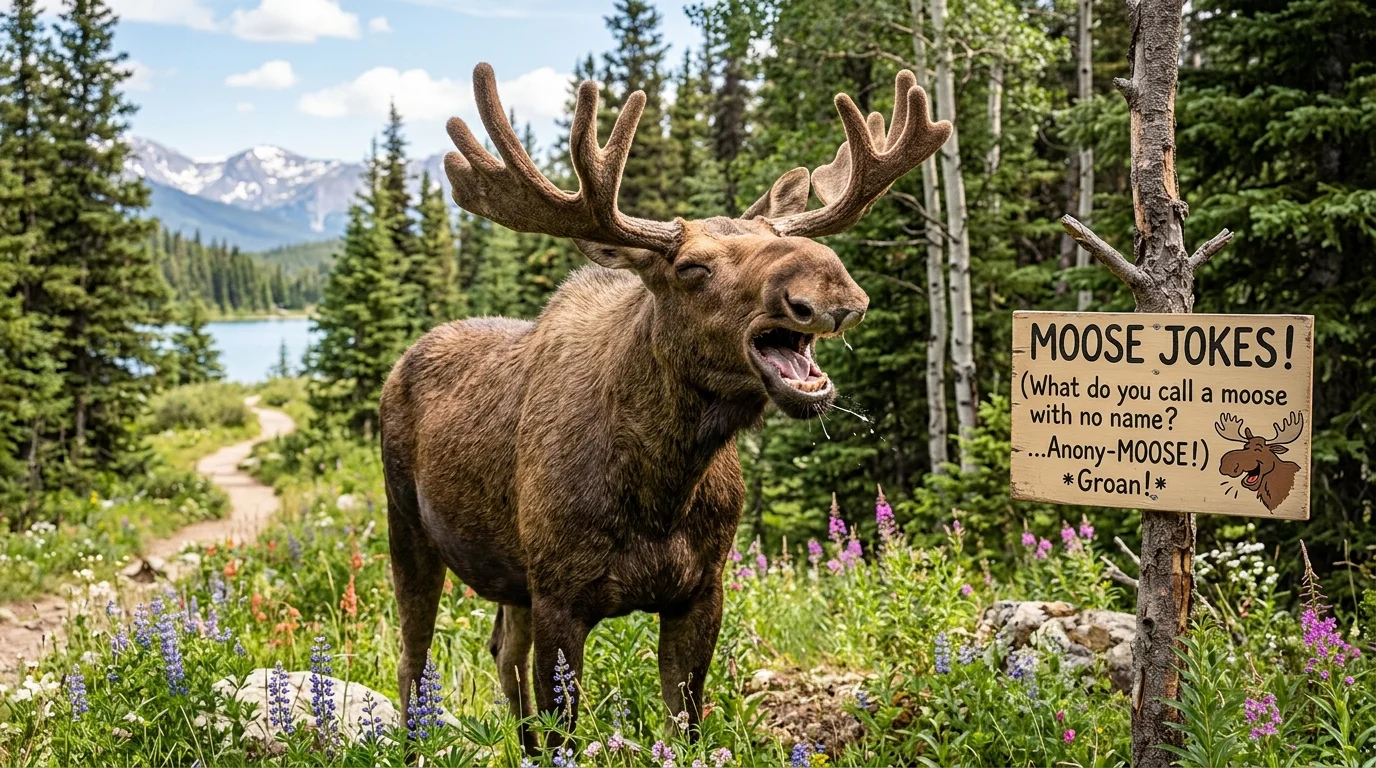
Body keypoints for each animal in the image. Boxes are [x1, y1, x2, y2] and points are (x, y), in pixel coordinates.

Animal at [379, 62, 951, 750]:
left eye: (773, 236)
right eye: (692, 266)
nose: (827, 280)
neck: (660, 486)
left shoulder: (701, 589)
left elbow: (686, 722)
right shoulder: (560, 598)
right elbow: (566, 729)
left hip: (511, 578)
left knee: (501, 652)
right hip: (408, 526)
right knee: (413, 659)